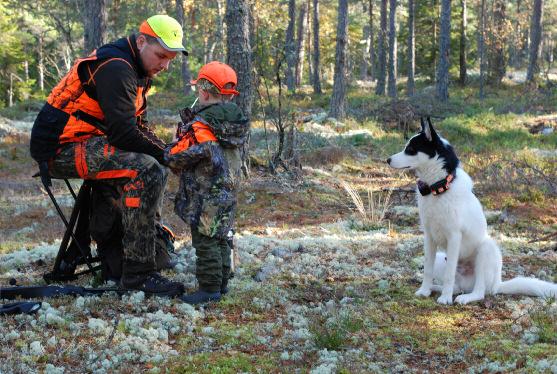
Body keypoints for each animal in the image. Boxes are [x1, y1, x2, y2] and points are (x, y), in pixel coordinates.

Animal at [386, 118, 556, 306]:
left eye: (410, 149)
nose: (387, 160)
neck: (438, 189)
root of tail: (497, 284)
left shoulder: (454, 237)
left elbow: (449, 274)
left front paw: (445, 299)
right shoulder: (429, 237)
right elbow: (428, 270)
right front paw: (424, 291)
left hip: (486, 250)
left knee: (479, 291)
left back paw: (464, 297)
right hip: (441, 258)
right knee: (456, 286)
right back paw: (437, 289)